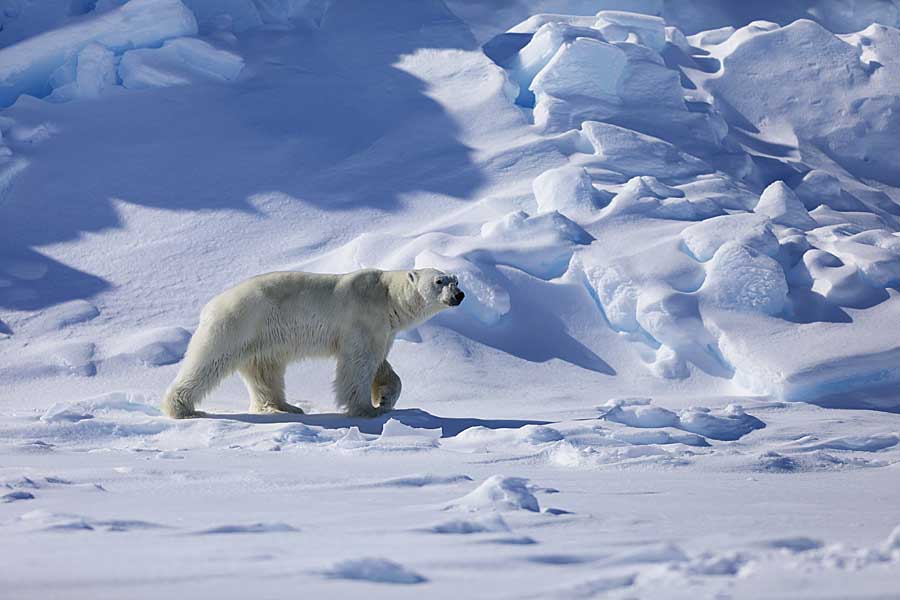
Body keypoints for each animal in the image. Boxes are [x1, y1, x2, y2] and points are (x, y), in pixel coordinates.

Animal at [160, 270, 464, 420]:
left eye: (456, 280)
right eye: (439, 281)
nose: (459, 295)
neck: (387, 295)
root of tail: (211, 304)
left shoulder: (382, 328)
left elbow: (380, 364)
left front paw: (385, 398)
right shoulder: (362, 317)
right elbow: (358, 364)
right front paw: (366, 410)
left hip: (262, 338)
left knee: (265, 371)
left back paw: (283, 407)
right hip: (237, 323)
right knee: (208, 361)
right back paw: (183, 409)